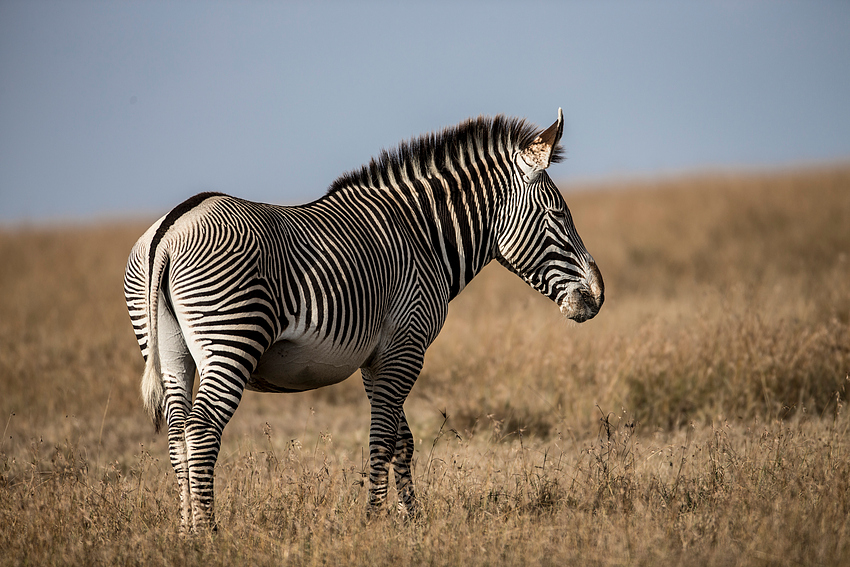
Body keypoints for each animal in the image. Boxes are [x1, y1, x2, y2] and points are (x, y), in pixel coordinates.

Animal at [124, 110, 604, 532]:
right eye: (559, 215)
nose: (597, 297)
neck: (422, 236)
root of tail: (170, 228)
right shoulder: (406, 346)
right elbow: (383, 438)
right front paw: (373, 521)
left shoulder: (377, 359)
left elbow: (402, 440)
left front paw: (411, 518)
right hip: (231, 339)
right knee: (202, 430)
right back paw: (208, 532)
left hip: (170, 351)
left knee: (177, 434)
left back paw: (185, 530)